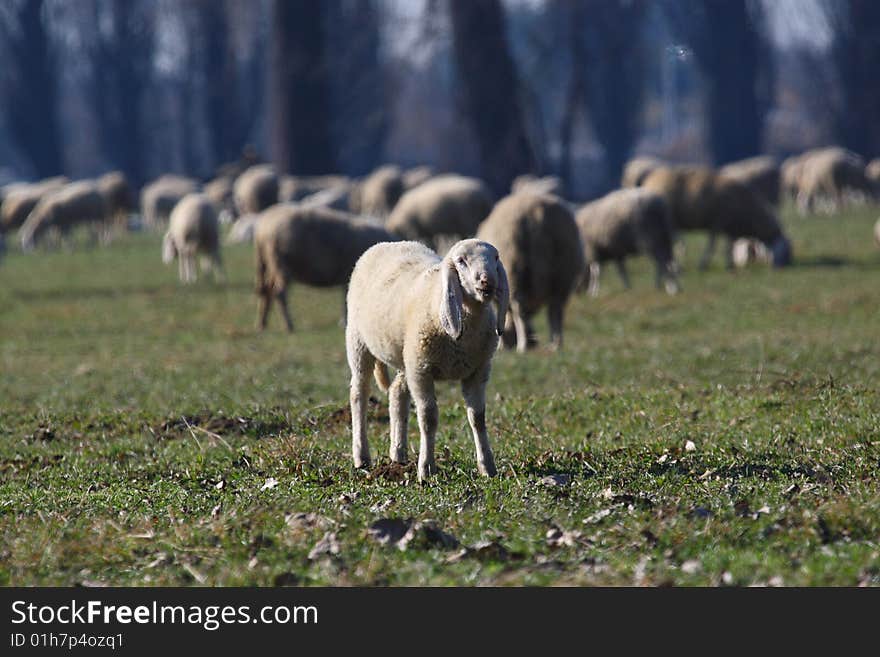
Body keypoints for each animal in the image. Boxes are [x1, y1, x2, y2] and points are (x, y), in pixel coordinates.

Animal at [344, 238, 508, 480]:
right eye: (461, 261)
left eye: (496, 258)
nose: (487, 281)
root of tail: (388, 243)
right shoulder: (422, 371)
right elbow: (429, 418)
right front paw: (426, 468)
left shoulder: (478, 371)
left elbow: (478, 417)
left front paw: (487, 466)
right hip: (359, 342)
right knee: (359, 394)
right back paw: (362, 456)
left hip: (407, 357)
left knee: (397, 392)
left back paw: (398, 454)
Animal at [640, 167, 792, 270]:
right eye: (783, 250)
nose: (781, 267)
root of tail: (649, 180)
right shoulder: (719, 221)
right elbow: (714, 246)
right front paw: (705, 264)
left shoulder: (729, 226)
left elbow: (729, 245)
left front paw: (730, 264)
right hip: (668, 220)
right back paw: (677, 262)